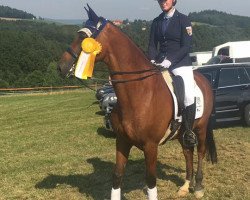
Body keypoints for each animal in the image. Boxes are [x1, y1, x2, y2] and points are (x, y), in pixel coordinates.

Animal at [58, 5, 217, 199]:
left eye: (82, 38)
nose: (61, 67)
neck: (139, 93)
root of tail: (204, 80)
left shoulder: (150, 146)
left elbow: (151, 181)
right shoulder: (122, 141)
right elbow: (117, 176)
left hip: (200, 128)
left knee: (200, 152)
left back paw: (199, 186)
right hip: (182, 133)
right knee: (188, 152)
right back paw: (185, 186)